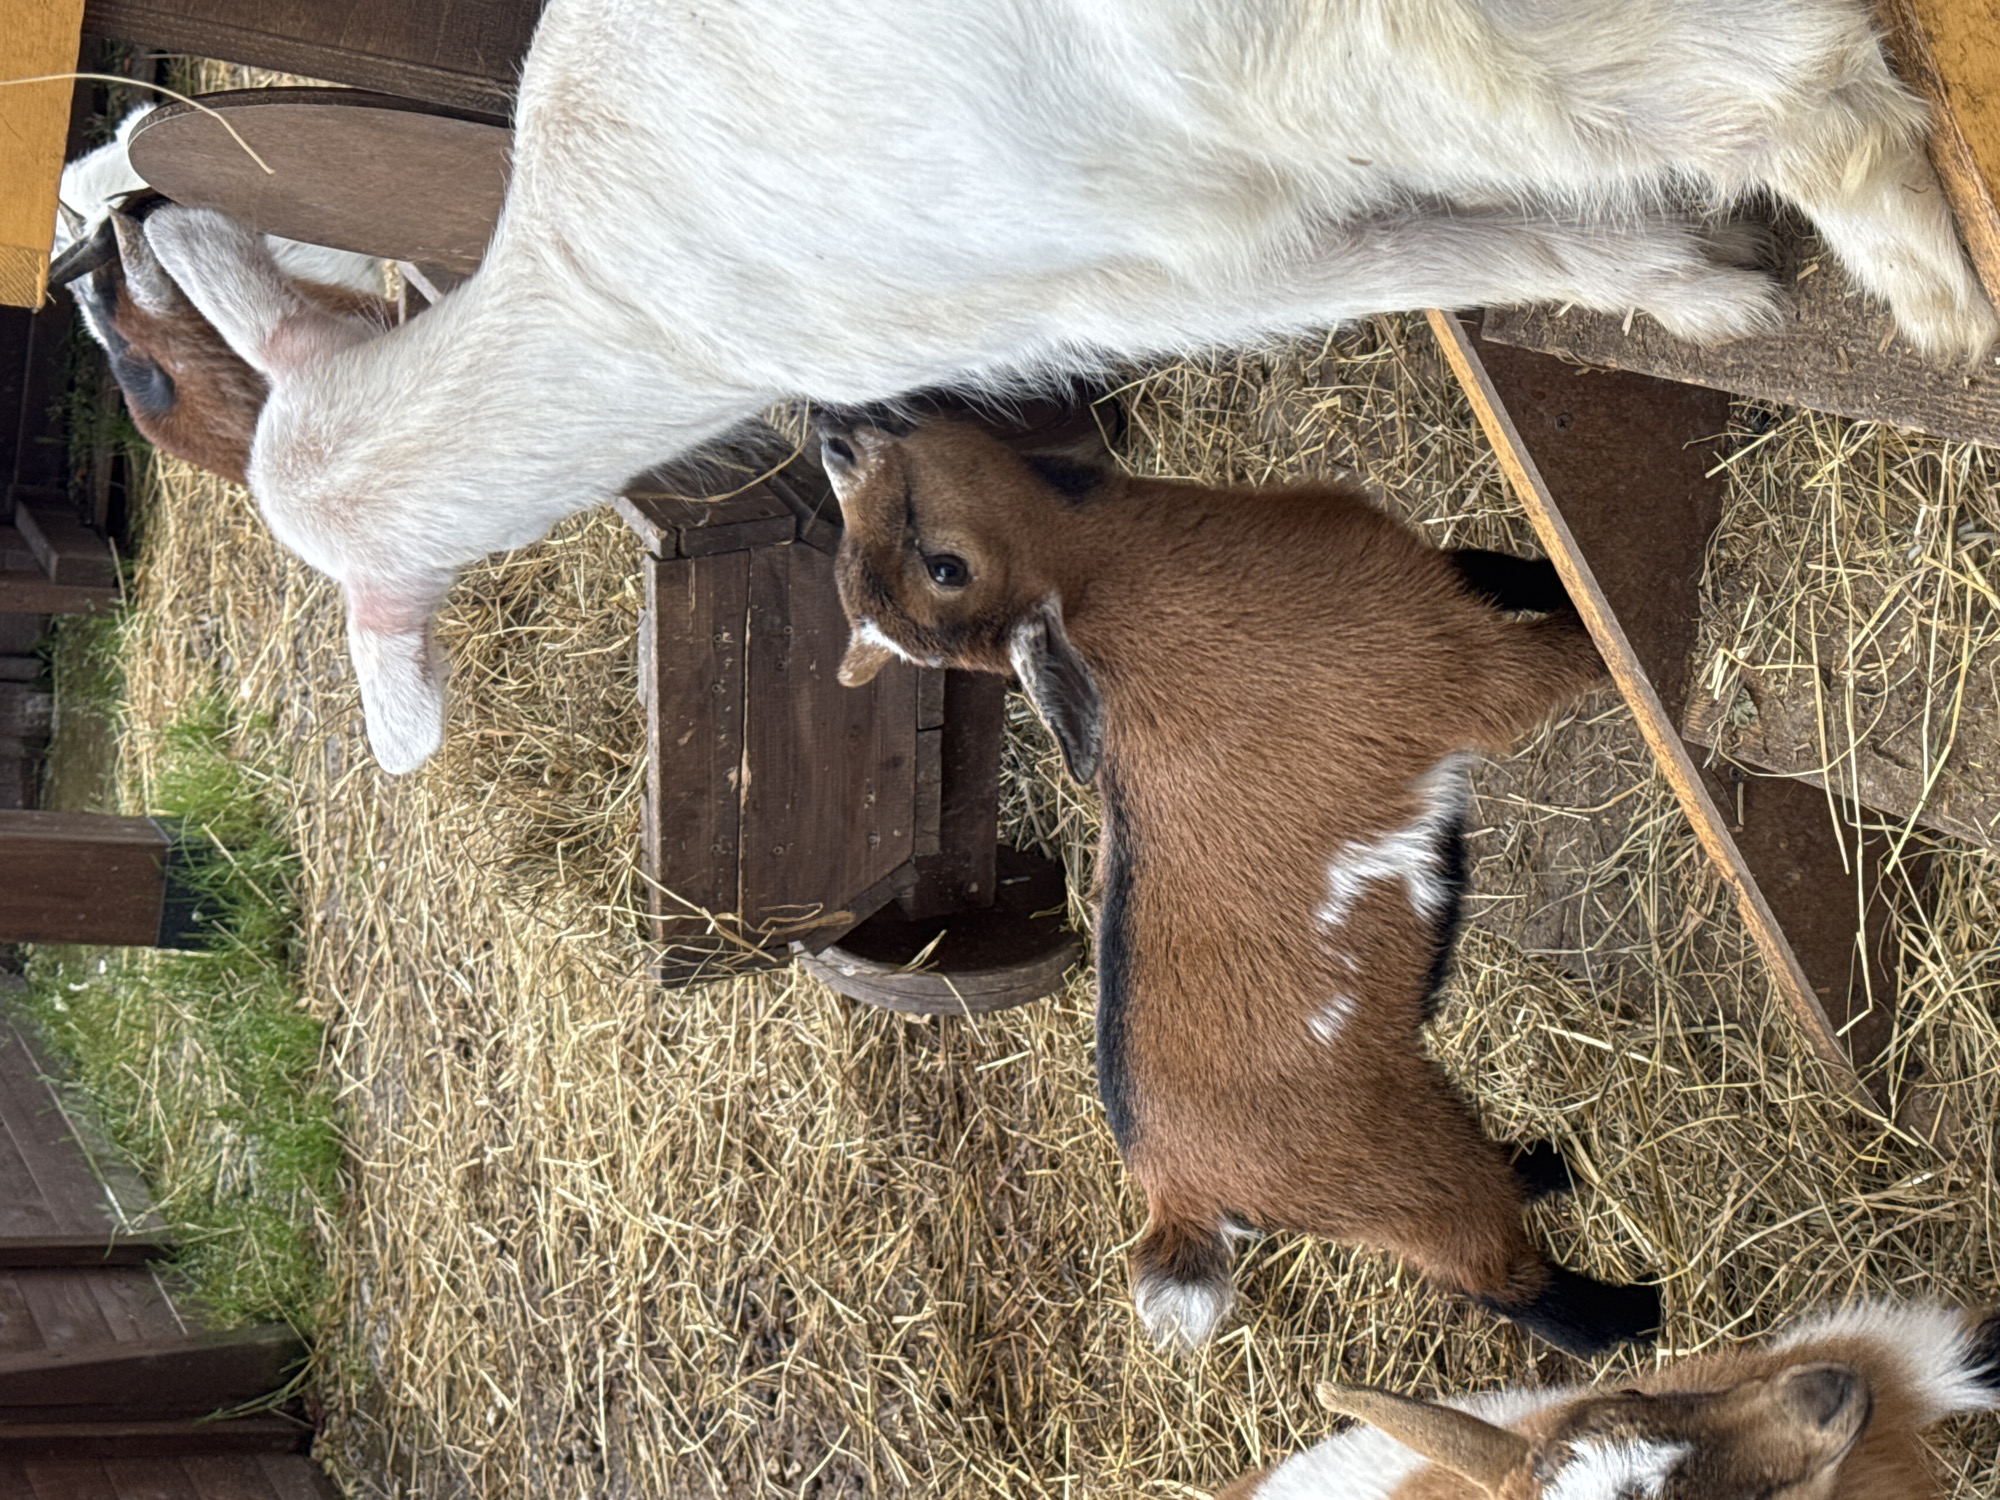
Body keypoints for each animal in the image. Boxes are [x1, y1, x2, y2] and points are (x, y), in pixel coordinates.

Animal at [140, 0, 1996, 773]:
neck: (618, 303)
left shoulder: (1145, 269)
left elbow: (1413, 258)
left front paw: (1694, 291)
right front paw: (1692, 269)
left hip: (1329, 52)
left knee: (1784, 86)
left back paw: (1928, 281)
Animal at [817, 416, 1651, 1354]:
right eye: (948, 568)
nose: (835, 435)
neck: (1126, 579)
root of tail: (1172, 1194)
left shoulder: (1426, 578)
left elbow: (1493, 567)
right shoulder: (1459, 674)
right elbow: (1570, 652)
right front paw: (1621, 641)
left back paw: (1548, 1165)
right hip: (1401, 1174)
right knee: (1497, 1277)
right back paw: (1638, 1308)